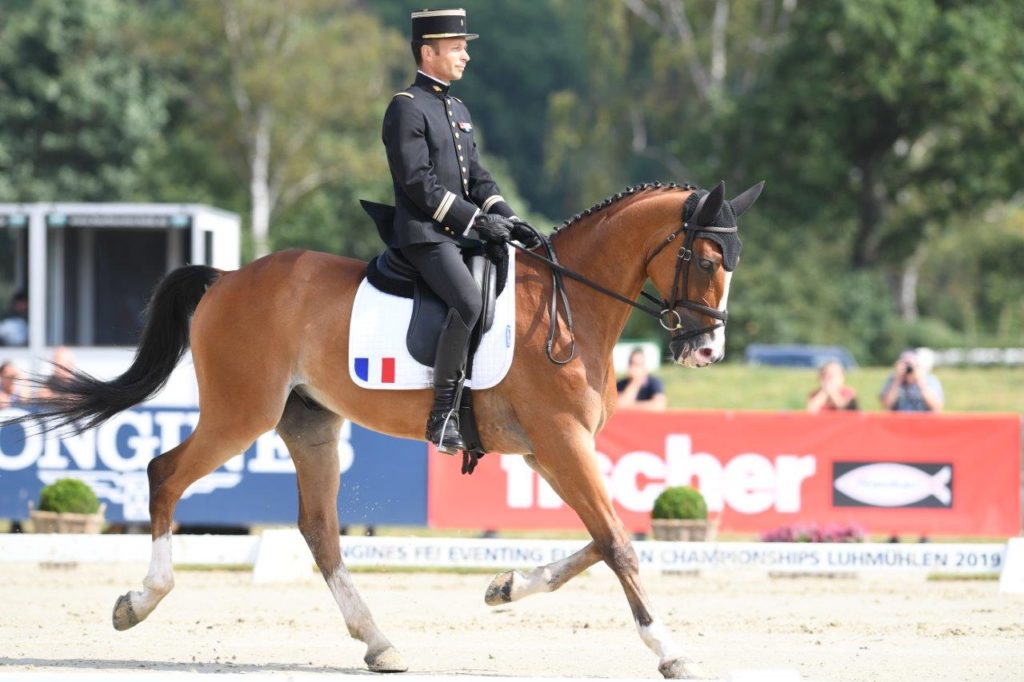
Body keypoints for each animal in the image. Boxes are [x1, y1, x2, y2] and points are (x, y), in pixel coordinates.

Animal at [8, 179, 761, 675]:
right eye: (705, 260)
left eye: (733, 263)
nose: (705, 350)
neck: (567, 304)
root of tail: (226, 278)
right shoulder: (560, 441)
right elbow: (618, 543)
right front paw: (670, 650)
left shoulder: (549, 450)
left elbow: (601, 541)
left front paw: (505, 587)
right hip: (240, 413)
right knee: (165, 473)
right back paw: (139, 602)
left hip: (309, 425)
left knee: (318, 529)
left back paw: (378, 641)